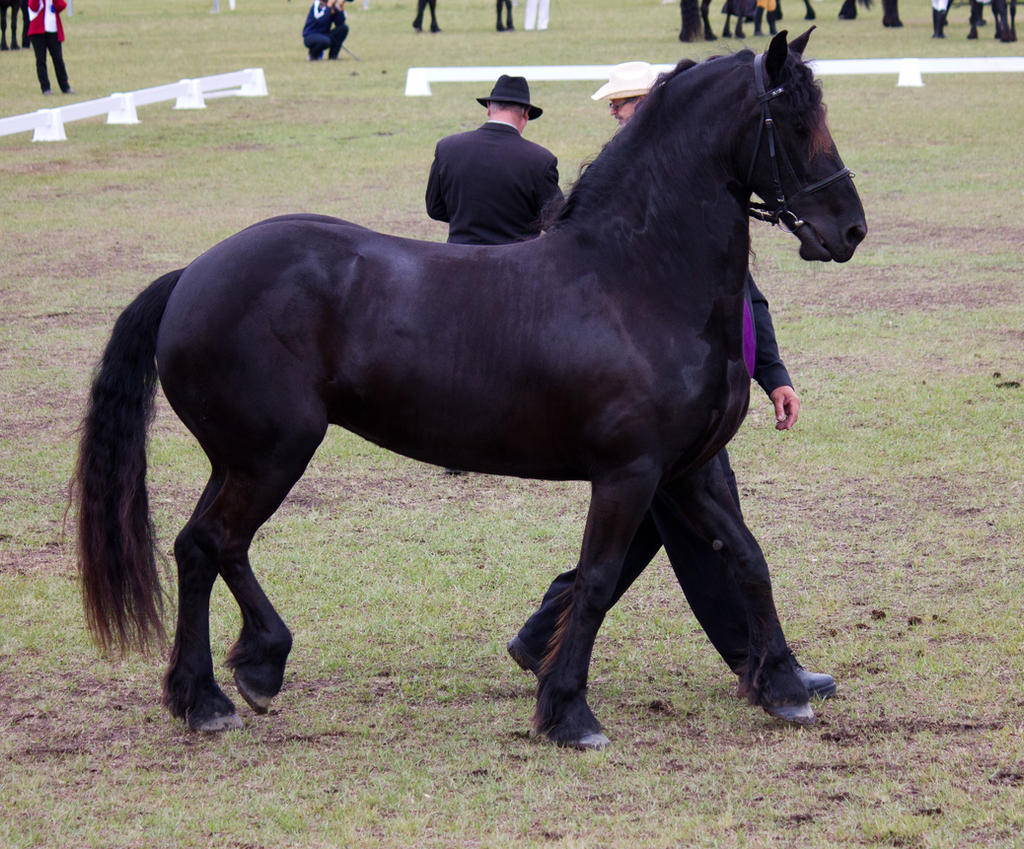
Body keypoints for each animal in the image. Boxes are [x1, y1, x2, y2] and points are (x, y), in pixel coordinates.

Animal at [74, 31, 864, 749]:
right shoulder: (629, 475)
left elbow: (747, 557)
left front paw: (785, 684)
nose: (851, 230)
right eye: (795, 120)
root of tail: (192, 275)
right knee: (214, 543)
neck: (635, 280)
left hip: (241, 458)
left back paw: (215, 685)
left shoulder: (686, 472)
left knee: (202, 549)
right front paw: (569, 713)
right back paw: (226, 686)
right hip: (271, 454)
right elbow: (599, 579)